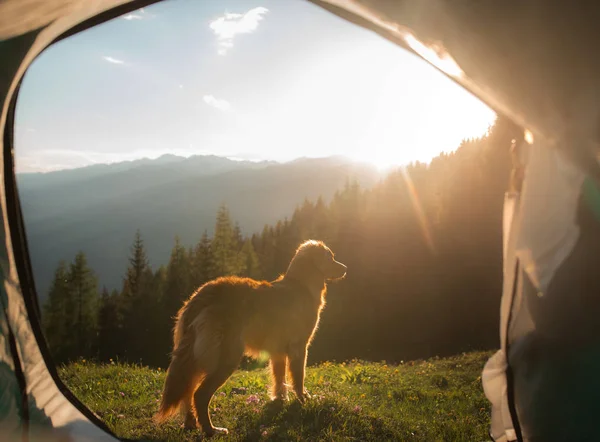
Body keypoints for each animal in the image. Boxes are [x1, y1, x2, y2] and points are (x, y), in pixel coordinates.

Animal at [152, 238, 346, 436]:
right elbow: (299, 378)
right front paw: (304, 399)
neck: (301, 284)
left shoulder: (277, 352)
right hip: (226, 358)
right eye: (330, 257)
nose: (345, 268)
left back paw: (191, 424)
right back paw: (211, 429)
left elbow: (279, 379)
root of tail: (202, 295)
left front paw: (279, 399)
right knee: (199, 394)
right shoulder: (299, 347)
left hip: (196, 359)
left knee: (188, 391)